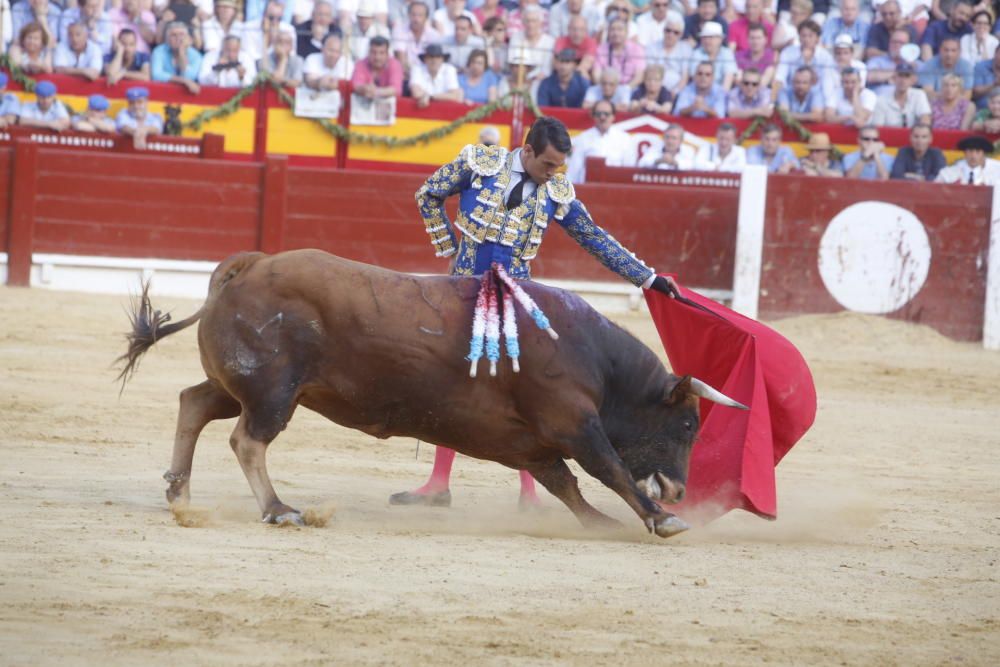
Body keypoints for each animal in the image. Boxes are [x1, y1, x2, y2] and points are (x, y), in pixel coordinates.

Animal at [119, 249, 744, 536]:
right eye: (688, 424)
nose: (681, 489)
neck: (595, 358)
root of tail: (249, 264)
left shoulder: (531, 444)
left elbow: (565, 485)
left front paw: (600, 523)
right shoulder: (574, 425)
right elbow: (609, 469)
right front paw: (662, 519)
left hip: (250, 385)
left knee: (195, 402)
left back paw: (180, 494)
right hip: (274, 393)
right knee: (248, 441)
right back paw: (280, 509)